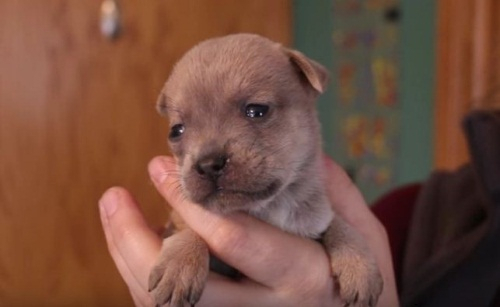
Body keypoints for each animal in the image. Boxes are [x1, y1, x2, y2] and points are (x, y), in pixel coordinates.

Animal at [150, 34, 380, 307]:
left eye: (256, 110)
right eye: (176, 131)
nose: (208, 164)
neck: (269, 208)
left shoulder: (315, 218)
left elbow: (337, 222)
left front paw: (359, 262)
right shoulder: (178, 222)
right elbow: (189, 228)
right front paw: (181, 263)